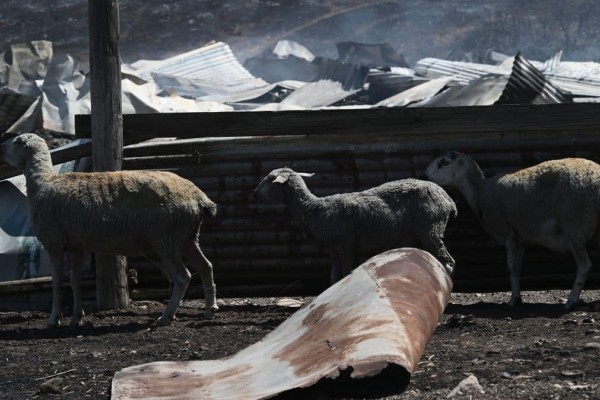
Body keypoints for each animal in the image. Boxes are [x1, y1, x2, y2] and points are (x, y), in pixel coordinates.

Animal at [0, 133, 220, 326]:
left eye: (16, 142)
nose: (1, 149)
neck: (43, 183)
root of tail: (200, 198)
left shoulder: (54, 243)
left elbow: (57, 282)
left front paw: (54, 319)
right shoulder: (76, 246)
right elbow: (74, 281)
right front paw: (76, 318)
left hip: (167, 240)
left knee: (183, 277)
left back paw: (167, 316)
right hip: (187, 237)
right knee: (206, 266)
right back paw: (210, 309)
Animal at [252, 167, 454, 282]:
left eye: (270, 179)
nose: (254, 193)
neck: (313, 209)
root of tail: (447, 199)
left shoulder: (344, 244)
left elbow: (347, 271)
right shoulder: (333, 250)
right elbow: (334, 277)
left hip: (431, 229)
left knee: (449, 263)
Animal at [424, 152, 600, 310]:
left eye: (443, 162)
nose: (425, 176)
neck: (481, 190)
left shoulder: (507, 233)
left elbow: (511, 267)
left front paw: (513, 300)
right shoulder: (520, 238)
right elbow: (517, 268)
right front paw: (518, 297)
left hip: (573, 226)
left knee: (584, 265)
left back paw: (571, 301)